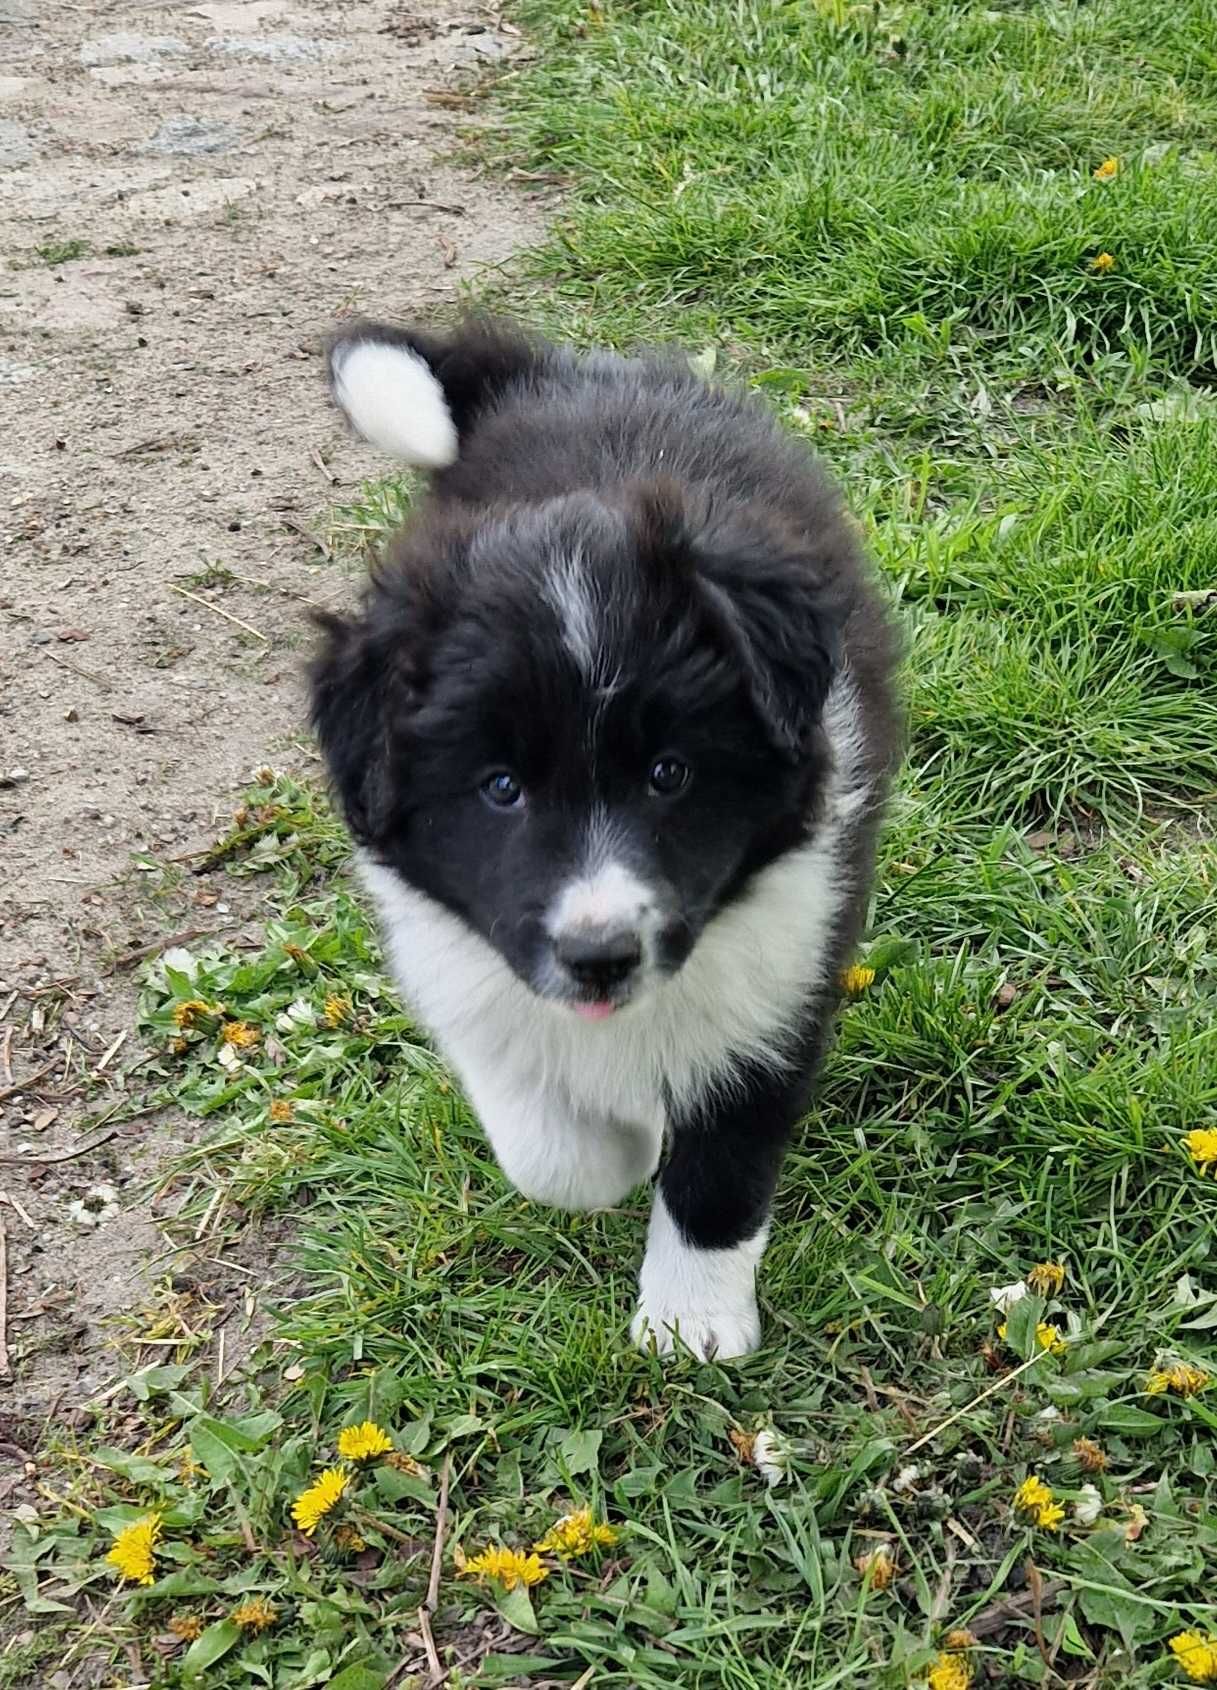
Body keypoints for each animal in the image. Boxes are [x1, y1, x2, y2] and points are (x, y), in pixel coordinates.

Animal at [309, 322, 899, 1365]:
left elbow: (721, 1163)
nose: (598, 958)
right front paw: (619, 1148)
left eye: (668, 774)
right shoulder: (465, 963)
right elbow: (545, 1142)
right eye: (500, 789)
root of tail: (565, 374)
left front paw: (691, 1319)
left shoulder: (784, 970)